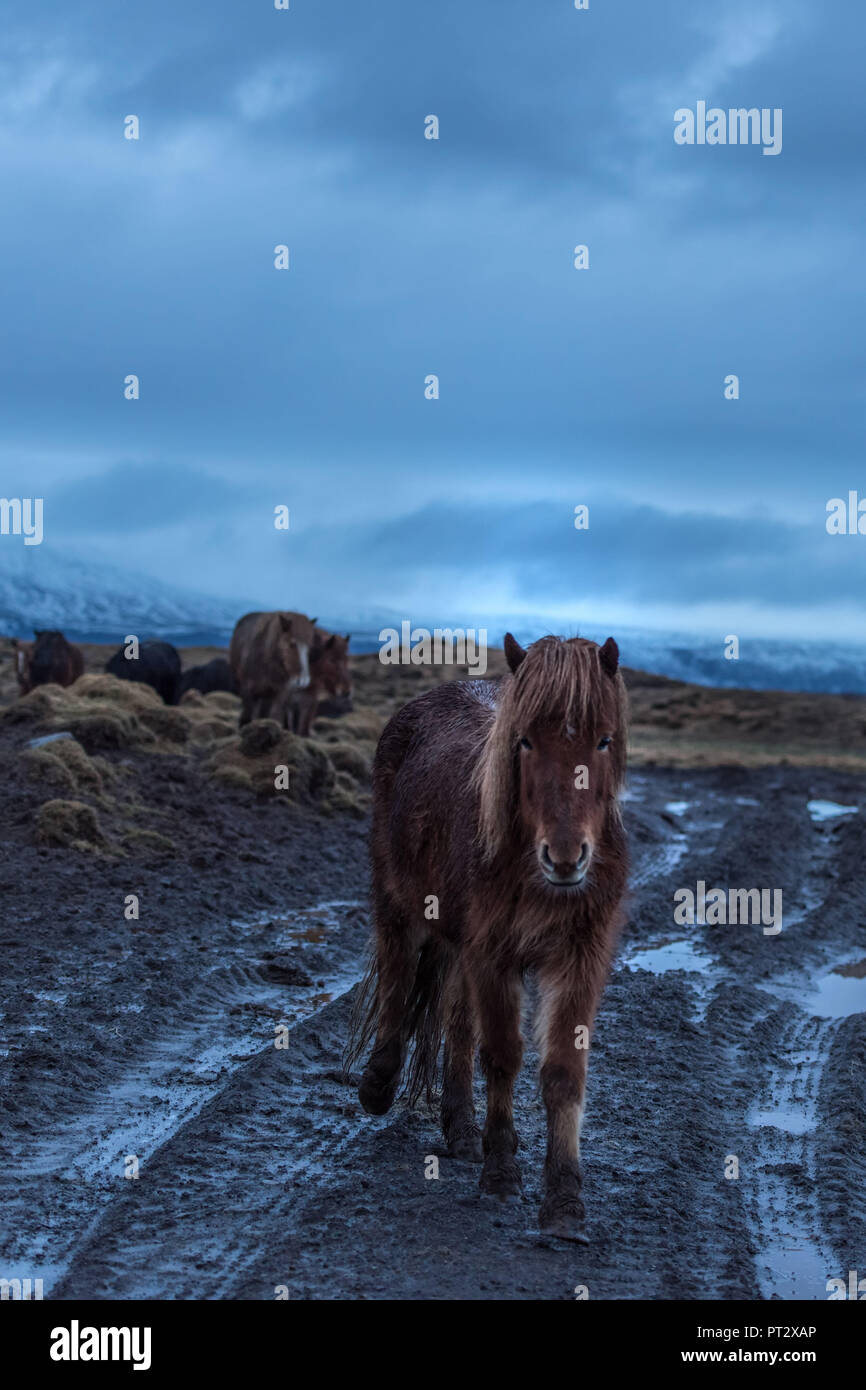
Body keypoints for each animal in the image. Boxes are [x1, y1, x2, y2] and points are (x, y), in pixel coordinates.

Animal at [347, 631, 631, 1239]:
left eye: (603, 740)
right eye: (522, 741)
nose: (565, 858)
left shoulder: (579, 959)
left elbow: (563, 1072)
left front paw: (564, 1200)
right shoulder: (494, 954)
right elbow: (501, 1055)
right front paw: (501, 1173)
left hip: (458, 944)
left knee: (455, 1024)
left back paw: (460, 1128)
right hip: (399, 903)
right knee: (397, 978)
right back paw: (379, 1085)